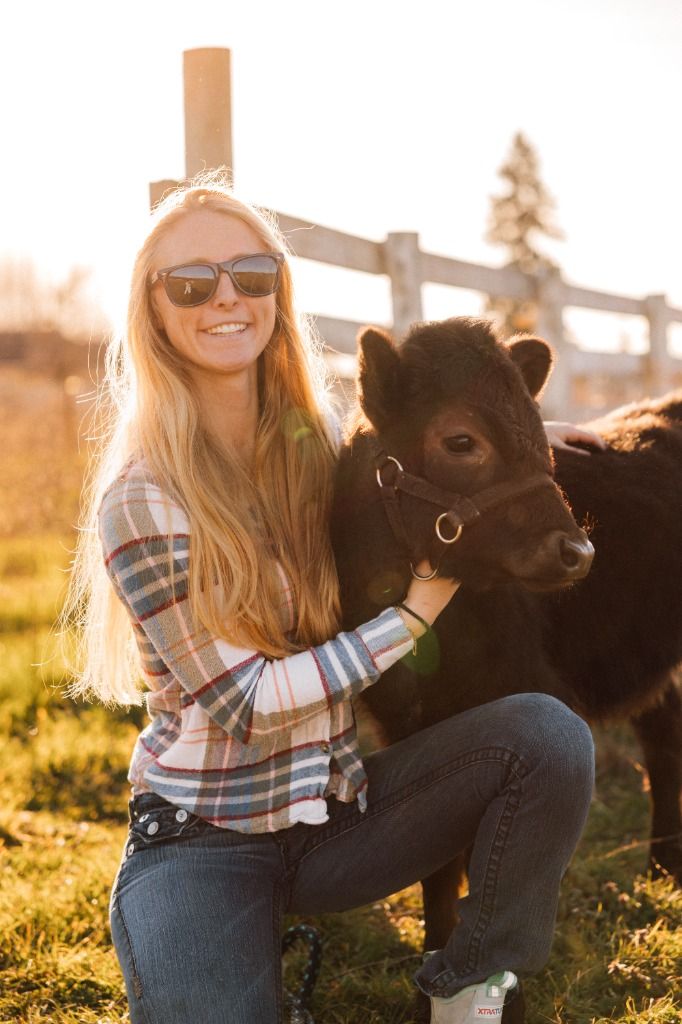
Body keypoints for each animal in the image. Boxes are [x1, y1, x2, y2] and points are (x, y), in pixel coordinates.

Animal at [330, 316, 682, 1021]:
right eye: (461, 440)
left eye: (537, 425)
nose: (578, 551)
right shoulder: (411, 726)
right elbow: (437, 864)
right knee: (664, 738)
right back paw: (661, 871)